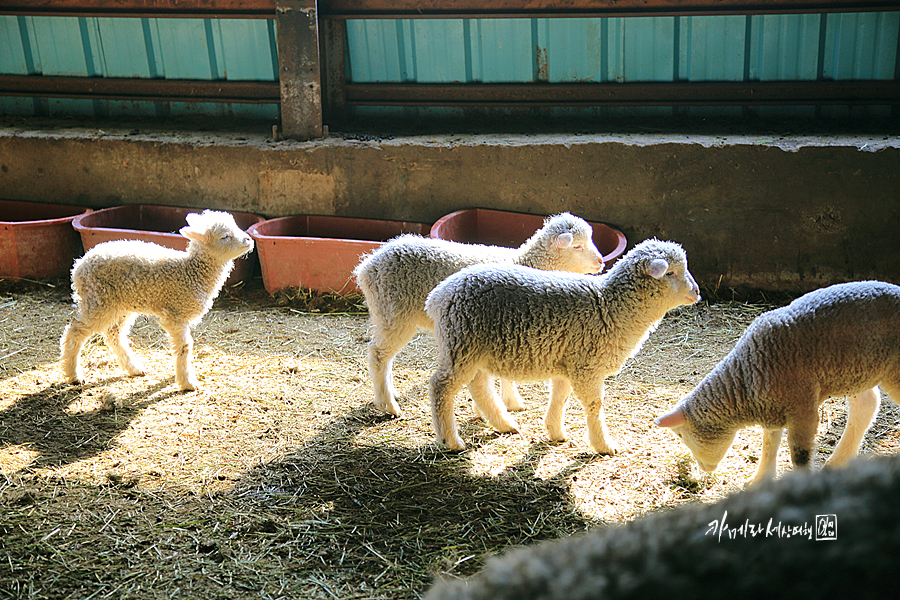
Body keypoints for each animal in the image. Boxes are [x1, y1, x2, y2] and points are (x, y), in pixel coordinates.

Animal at [58, 209, 253, 392]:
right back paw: (73, 374)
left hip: (120, 305)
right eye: (225, 236)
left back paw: (134, 368)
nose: (249, 241)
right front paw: (187, 382)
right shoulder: (175, 314)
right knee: (75, 331)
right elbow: (185, 346)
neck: (191, 272)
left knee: (114, 334)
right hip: (98, 301)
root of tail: (78, 266)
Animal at [354, 214, 604, 418]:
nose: (601, 262)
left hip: (385, 313)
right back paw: (388, 404)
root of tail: (367, 265)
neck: (527, 261)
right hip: (394, 313)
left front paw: (510, 401)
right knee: (378, 354)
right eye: (578, 246)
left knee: (383, 356)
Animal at [426, 237, 700, 452]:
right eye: (671, 273)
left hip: (474, 349)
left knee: (479, 386)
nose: (697, 292)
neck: (610, 306)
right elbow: (594, 406)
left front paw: (555, 431)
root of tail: (439, 295)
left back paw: (505, 424)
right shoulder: (587, 367)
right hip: (461, 343)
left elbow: (560, 397)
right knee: (441, 387)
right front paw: (603, 444)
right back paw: (450, 440)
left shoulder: (568, 362)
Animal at [652, 278, 900, 486]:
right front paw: (759, 479)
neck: (745, 375)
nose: (703, 469)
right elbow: (769, 445)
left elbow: (799, 454)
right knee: (867, 405)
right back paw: (838, 461)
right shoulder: (773, 407)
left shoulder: (802, 408)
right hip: (857, 371)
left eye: (680, 435)